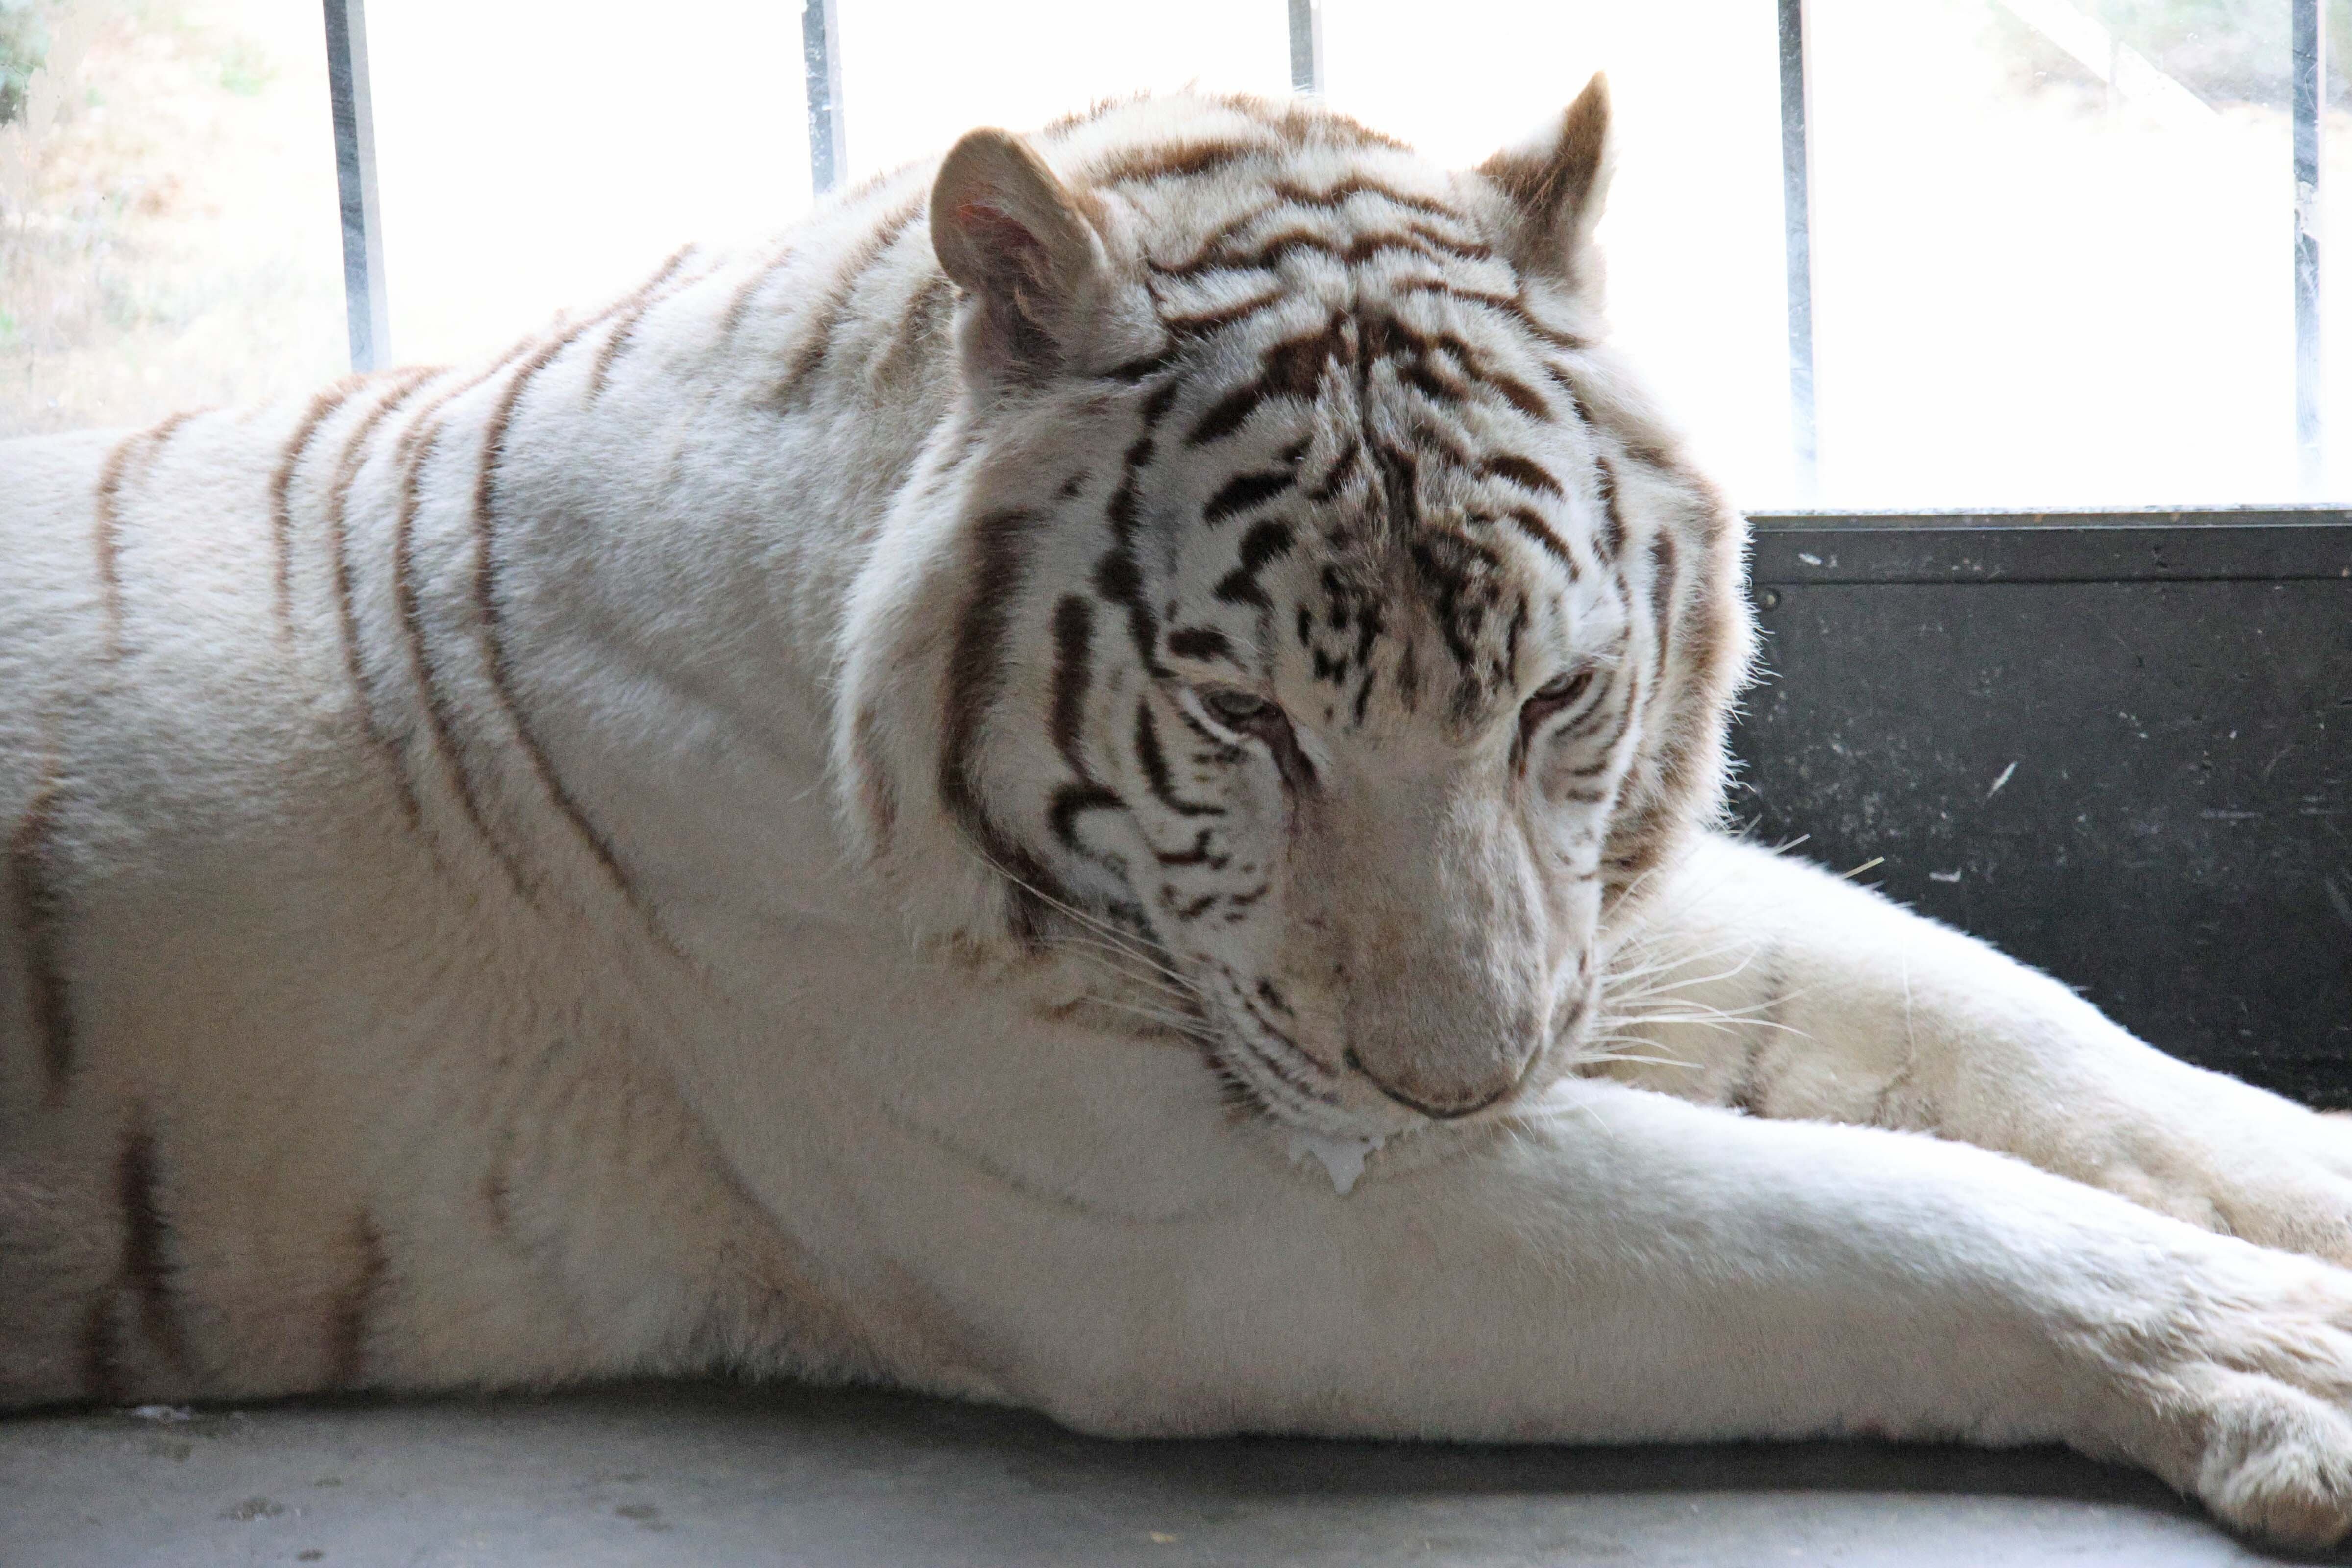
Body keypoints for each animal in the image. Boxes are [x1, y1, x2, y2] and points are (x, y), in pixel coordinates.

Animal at [9, 78, 2352, 1548]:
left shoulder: (1580, 922)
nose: (1461, 1091)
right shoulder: (1197, 1221)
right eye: (1241, 717)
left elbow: (2014, 1023)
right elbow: (1876, 1214)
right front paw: (2287, 1354)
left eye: (1560, 696)